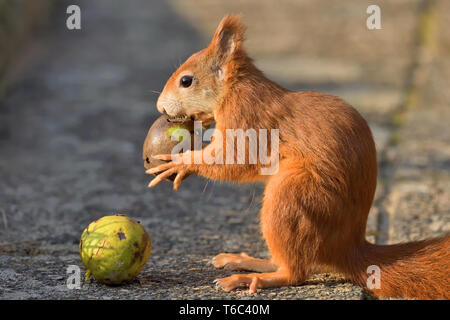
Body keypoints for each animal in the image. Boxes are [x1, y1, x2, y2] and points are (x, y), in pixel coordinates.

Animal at [148, 15, 450, 300]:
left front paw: (181, 164)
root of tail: (347, 247)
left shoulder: (248, 119)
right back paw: (245, 261)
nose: (160, 107)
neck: (234, 89)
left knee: (295, 272)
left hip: (292, 196)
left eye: (186, 81)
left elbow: (234, 159)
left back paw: (250, 279)